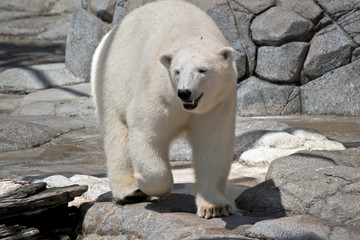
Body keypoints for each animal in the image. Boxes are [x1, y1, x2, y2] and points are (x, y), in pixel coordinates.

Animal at [93, 0, 238, 218]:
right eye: (177, 71)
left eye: (203, 70)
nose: (184, 92)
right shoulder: (158, 92)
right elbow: (147, 130)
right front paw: (148, 184)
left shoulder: (217, 105)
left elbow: (213, 145)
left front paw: (215, 207)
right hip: (112, 77)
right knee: (116, 131)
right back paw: (130, 191)